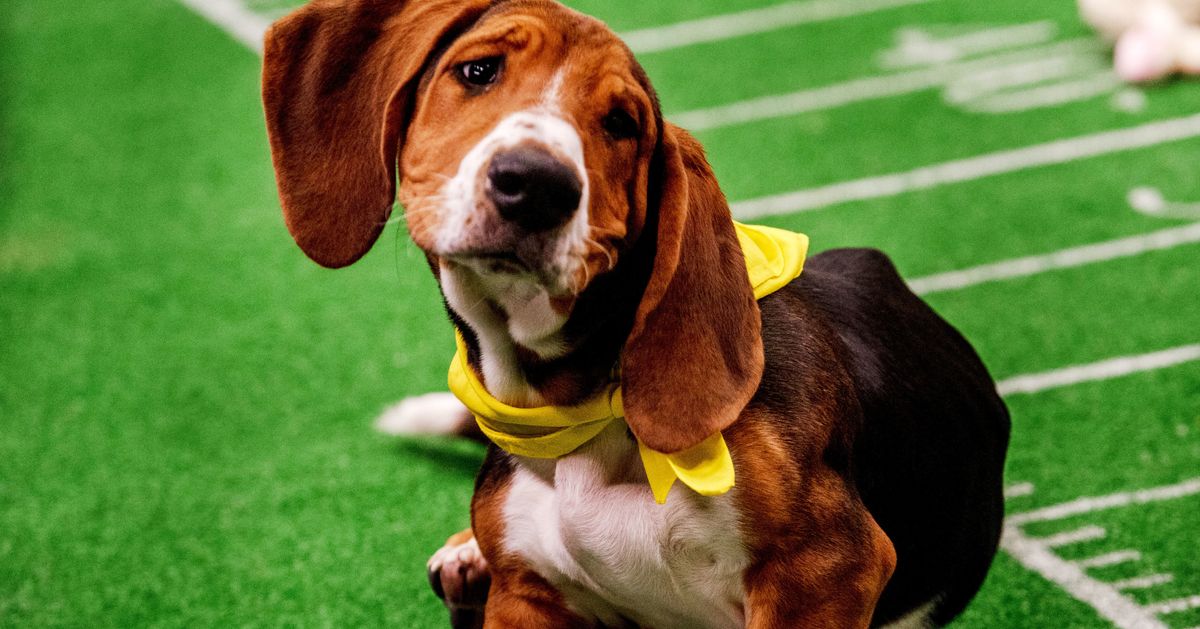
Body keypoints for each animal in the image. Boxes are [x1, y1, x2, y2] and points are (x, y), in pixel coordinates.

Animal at [262, 2, 1012, 624]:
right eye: (477, 71)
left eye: (622, 124)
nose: (536, 182)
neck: (582, 410)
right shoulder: (527, 596)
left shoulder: (825, 570)